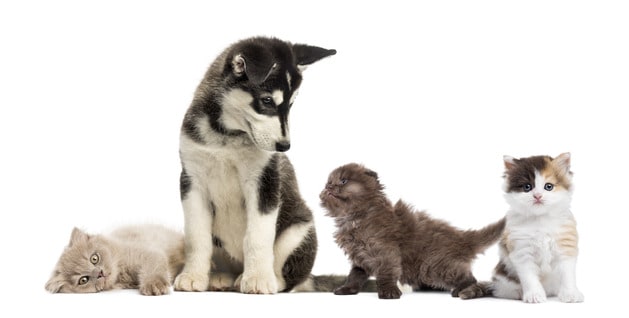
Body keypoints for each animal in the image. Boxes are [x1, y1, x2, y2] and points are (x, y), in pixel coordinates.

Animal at [45, 224, 185, 296]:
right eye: (83, 280)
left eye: (94, 258)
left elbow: (153, 268)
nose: (99, 273)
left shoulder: (147, 252)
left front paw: (154, 284)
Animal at [174, 36, 336, 294]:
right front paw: (193, 275)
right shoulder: (192, 181)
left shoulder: (264, 182)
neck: (226, 137)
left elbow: (258, 236)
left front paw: (258, 278)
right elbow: (196, 236)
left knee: (288, 276)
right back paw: (221, 277)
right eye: (267, 100)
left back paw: (265, 279)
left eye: (290, 104)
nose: (284, 146)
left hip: (299, 229)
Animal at [318, 163, 506, 300]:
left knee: (470, 278)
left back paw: (461, 290)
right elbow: (354, 276)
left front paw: (389, 292)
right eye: (328, 182)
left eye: (343, 181)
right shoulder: (360, 257)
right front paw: (347, 289)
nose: (329, 187)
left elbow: (386, 273)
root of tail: (461, 238)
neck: (355, 217)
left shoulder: (385, 251)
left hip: (434, 265)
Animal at [458, 153, 580, 302]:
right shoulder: (522, 252)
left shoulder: (565, 248)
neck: (539, 220)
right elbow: (529, 277)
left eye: (548, 186)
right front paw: (534, 295)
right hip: (503, 279)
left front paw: (571, 294)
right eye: (527, 187)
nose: (537, 196)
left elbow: (567, 275)